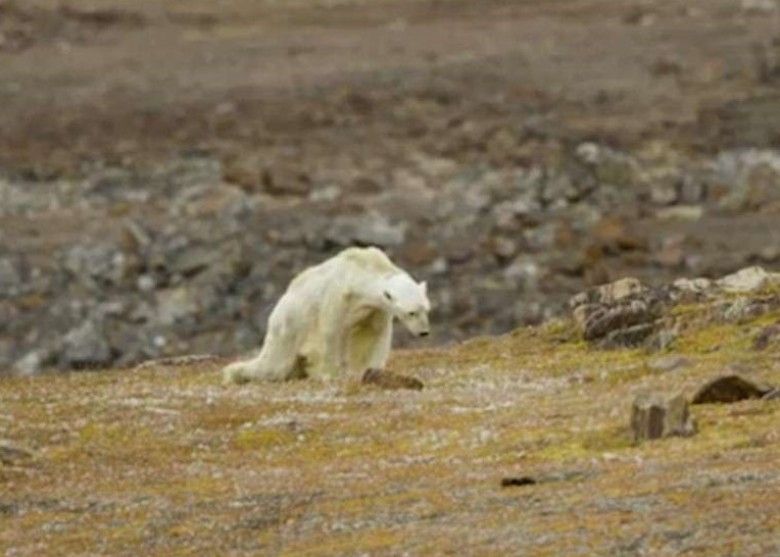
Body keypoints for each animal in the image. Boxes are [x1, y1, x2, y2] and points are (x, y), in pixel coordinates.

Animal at [222, 248, 432, 382]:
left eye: (426, 310)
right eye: (411, 313)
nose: (424, 332)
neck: (359, 271)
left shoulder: (374, 308)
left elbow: (374, 334)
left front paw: (371, 370)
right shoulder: (338, 296)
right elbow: (331, 332)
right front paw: (330, 374)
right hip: (289, 324)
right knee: (274, 364)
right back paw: (234, 373)